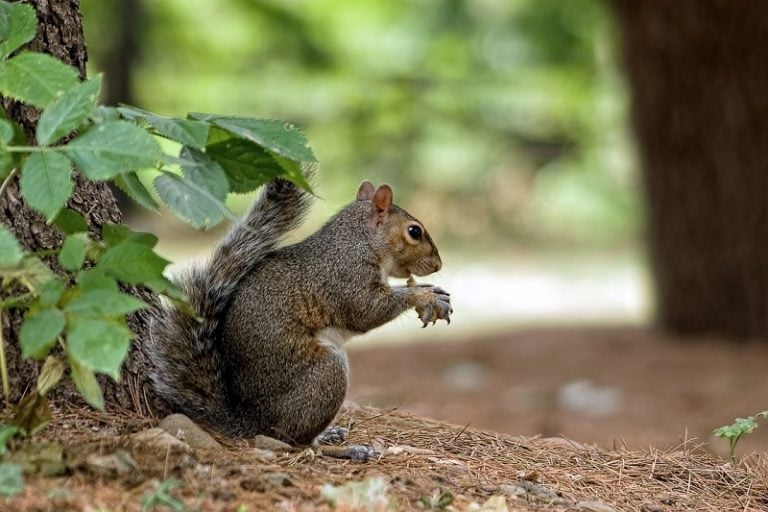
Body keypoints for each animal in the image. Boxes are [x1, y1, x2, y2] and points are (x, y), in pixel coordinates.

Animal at [148, 178, 451, 446]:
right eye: (414, 232)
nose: (438, 264)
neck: (358, 240)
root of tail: (249, 421)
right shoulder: (346, 277)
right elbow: (366, 311)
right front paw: (425, 295)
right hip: (325, 374)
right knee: (295, 440)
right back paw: (339, 448)